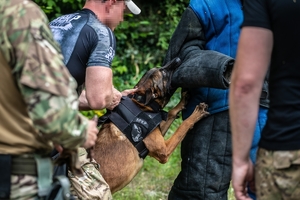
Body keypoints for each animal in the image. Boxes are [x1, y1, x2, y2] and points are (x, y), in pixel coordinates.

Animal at [92, 57, 207, 194]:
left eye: (161, 68)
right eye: (164, 73)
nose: (178, 59)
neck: (142, 104)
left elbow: (171, 112)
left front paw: (182, 101)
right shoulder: (164, 152)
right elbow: (183, 126)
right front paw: (196, 114)